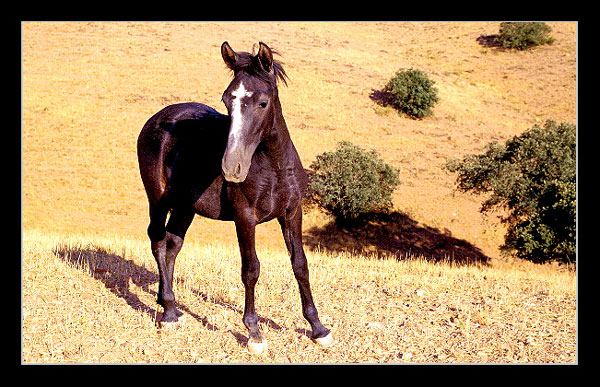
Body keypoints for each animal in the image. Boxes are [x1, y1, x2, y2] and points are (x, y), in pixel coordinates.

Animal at [137, 42, 332, 354]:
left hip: (185, 207)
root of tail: (157, 119)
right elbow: (251, 269)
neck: (274, 166)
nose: (232, 167)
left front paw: (318, 328)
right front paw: (254, 333)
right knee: (157, 241)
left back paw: (169, 303)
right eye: (227, 99)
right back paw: (168, 313)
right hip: (157, 199)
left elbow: (300, 265)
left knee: (172, 246)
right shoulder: (245, 218)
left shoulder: (292, 213)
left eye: (262, 102)